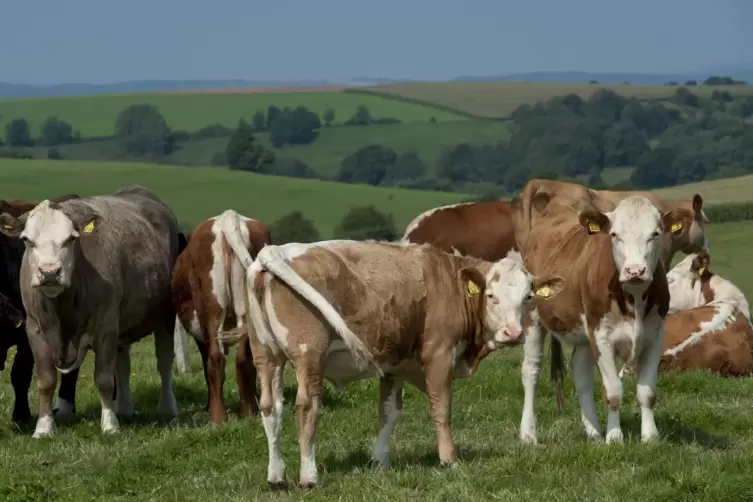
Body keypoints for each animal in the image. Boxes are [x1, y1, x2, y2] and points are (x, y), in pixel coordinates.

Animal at [0, 186, 184, 438]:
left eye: (70, 239)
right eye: (27, 240)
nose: (49, 272)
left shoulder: (106, 327)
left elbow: (104, 379)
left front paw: (110, 425)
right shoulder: (34, 331)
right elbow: (46, 381)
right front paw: (43, 428)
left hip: (165, 316)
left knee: (164, 362)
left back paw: (166, 407)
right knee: (123, 365)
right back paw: (124, 407)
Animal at [170, 208, 270, 424]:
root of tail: (227, 217)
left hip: (211, 310)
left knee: (215, 360)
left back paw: (218, 416)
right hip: (246, 313)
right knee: (244, 359)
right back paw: (249, 410)